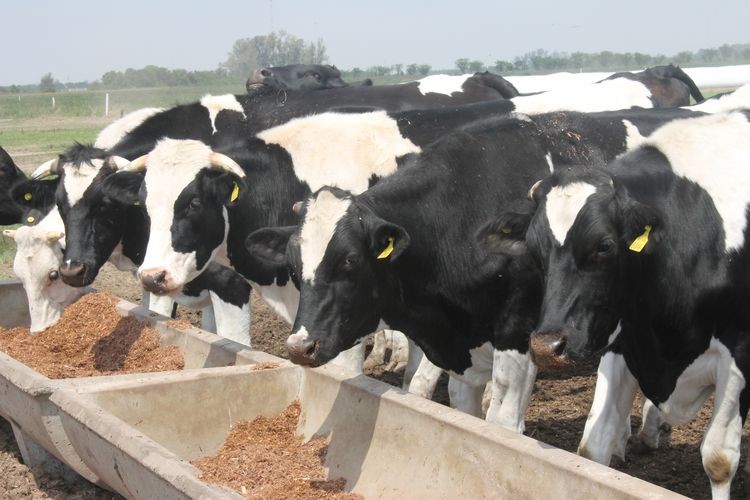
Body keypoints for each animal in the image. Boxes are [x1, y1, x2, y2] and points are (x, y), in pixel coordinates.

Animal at [490, 111, 750, 499]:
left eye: (604, 246)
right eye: (535, 250)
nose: (547, 347)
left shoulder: (738, 353)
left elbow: (718, 460)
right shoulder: (621, 336)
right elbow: (592, 447)